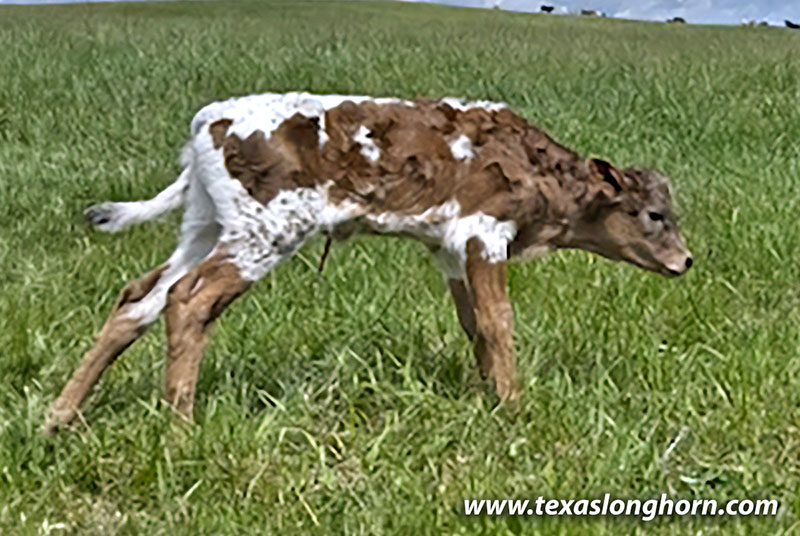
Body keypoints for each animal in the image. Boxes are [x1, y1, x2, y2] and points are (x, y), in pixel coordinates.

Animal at [44, 93, 693, 433]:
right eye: (655, 214)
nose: (686, 261)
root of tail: (211, 118)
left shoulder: (449, 246)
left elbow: (475, 325)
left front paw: (488, 396)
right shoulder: (484, 232)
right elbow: (500, 321)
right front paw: (513, 407)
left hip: (205, 226)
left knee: (139, 298)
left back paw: (60, 414)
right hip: (266, 232)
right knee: (189, 300)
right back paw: (180, 426)